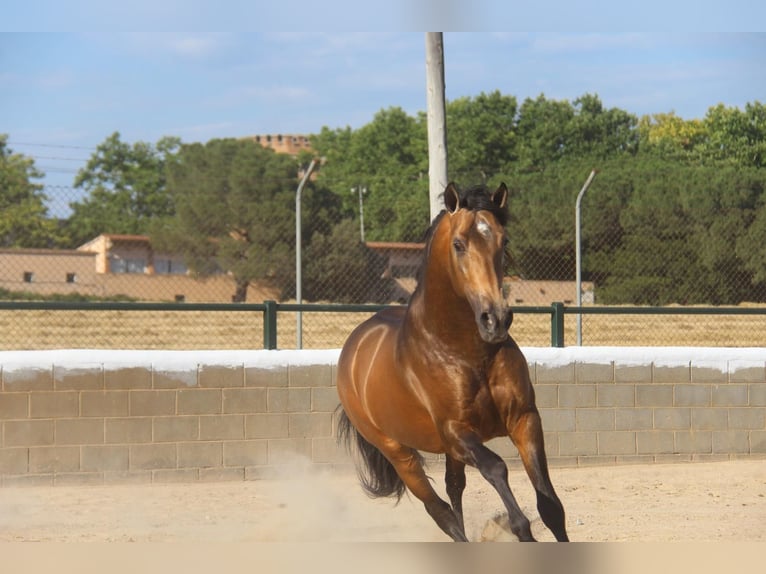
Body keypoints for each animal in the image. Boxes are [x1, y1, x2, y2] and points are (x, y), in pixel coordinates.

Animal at [338, 182, 568, 544]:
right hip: (398, 452)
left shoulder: (525, 419)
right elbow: (496, 468)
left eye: (504, 241)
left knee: (454, 489)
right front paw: (519, 529)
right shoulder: (457, 432)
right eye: (459, 244)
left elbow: (551, 507)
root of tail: (354, 346)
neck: (466, 352)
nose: (495, 319)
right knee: (440, 511)